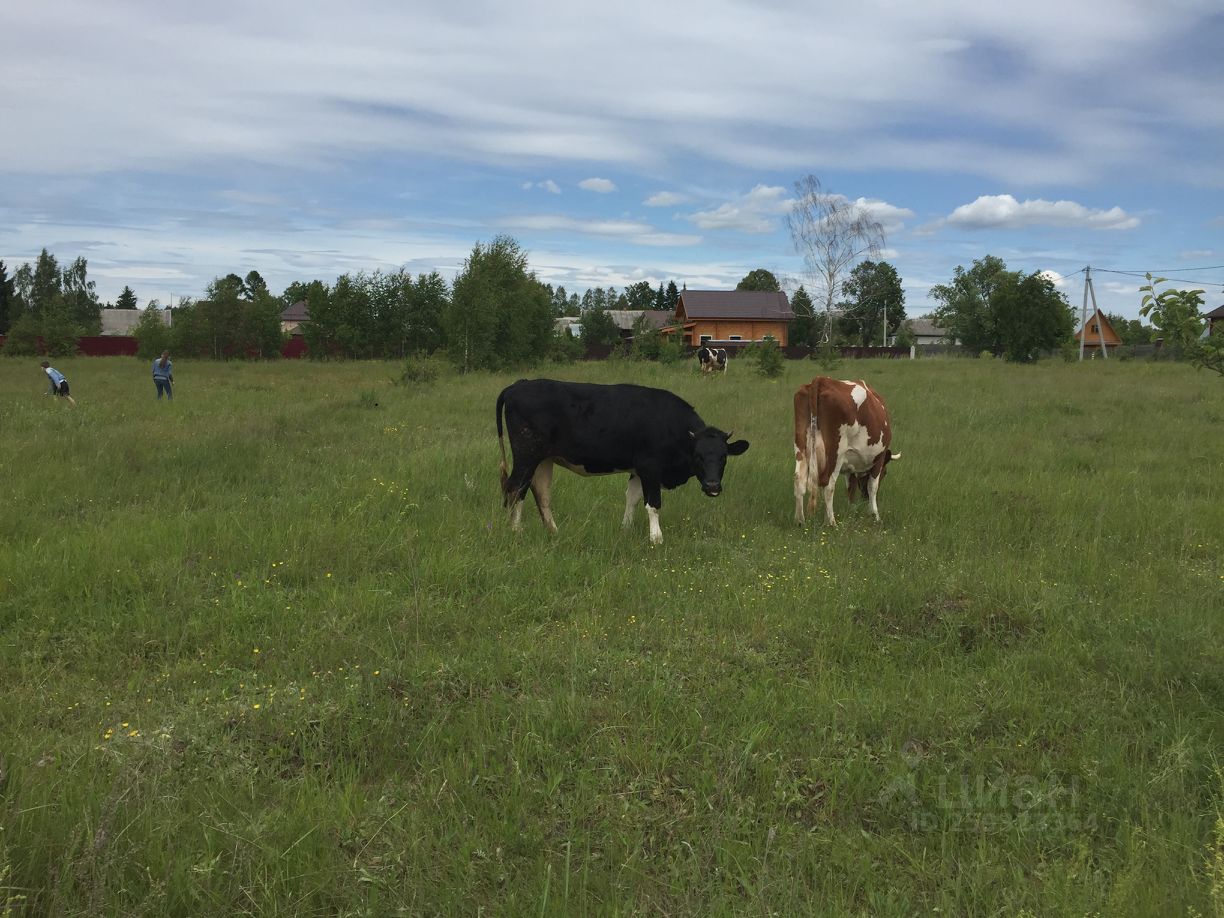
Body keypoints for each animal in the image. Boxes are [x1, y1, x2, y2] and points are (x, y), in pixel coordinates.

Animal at [494, 381, 744, 545]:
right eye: (698, 456)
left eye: (723, 457)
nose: (712, 486)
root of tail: (518, 384)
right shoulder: (650, 466)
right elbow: (653, 503)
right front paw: (656, 538)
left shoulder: (637, 470)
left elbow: (631, 499)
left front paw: (625, 530)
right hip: (526, 454)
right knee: (515, 488)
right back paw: (515, 531)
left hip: (544, 459)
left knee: (541, 494)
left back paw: (553, 532)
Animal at [793, 376, 900, 528]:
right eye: (885, 473)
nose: (864, 498)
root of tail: (822, 380)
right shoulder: (879, 460)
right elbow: (872, 486)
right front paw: (875, 515)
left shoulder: (850, 467)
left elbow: (851, 488)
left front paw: (851, 511)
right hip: (835, 453)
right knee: (828, 485)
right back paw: (831, 523)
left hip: (801, 447)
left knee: (799, 480)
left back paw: (800, 521)